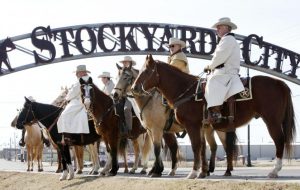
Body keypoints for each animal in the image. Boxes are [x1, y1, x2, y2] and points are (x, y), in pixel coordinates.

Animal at [132, 54, 296, 179]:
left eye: (146, 71)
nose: (134, 88)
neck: (186, 91)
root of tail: (279, 83)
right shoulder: (201, 126)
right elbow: (202, 148)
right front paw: (201, 172)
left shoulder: (188, 126)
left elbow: (195, 146)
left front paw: (193, 173)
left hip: (272, 121)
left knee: (279, 141)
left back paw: (274, 171)